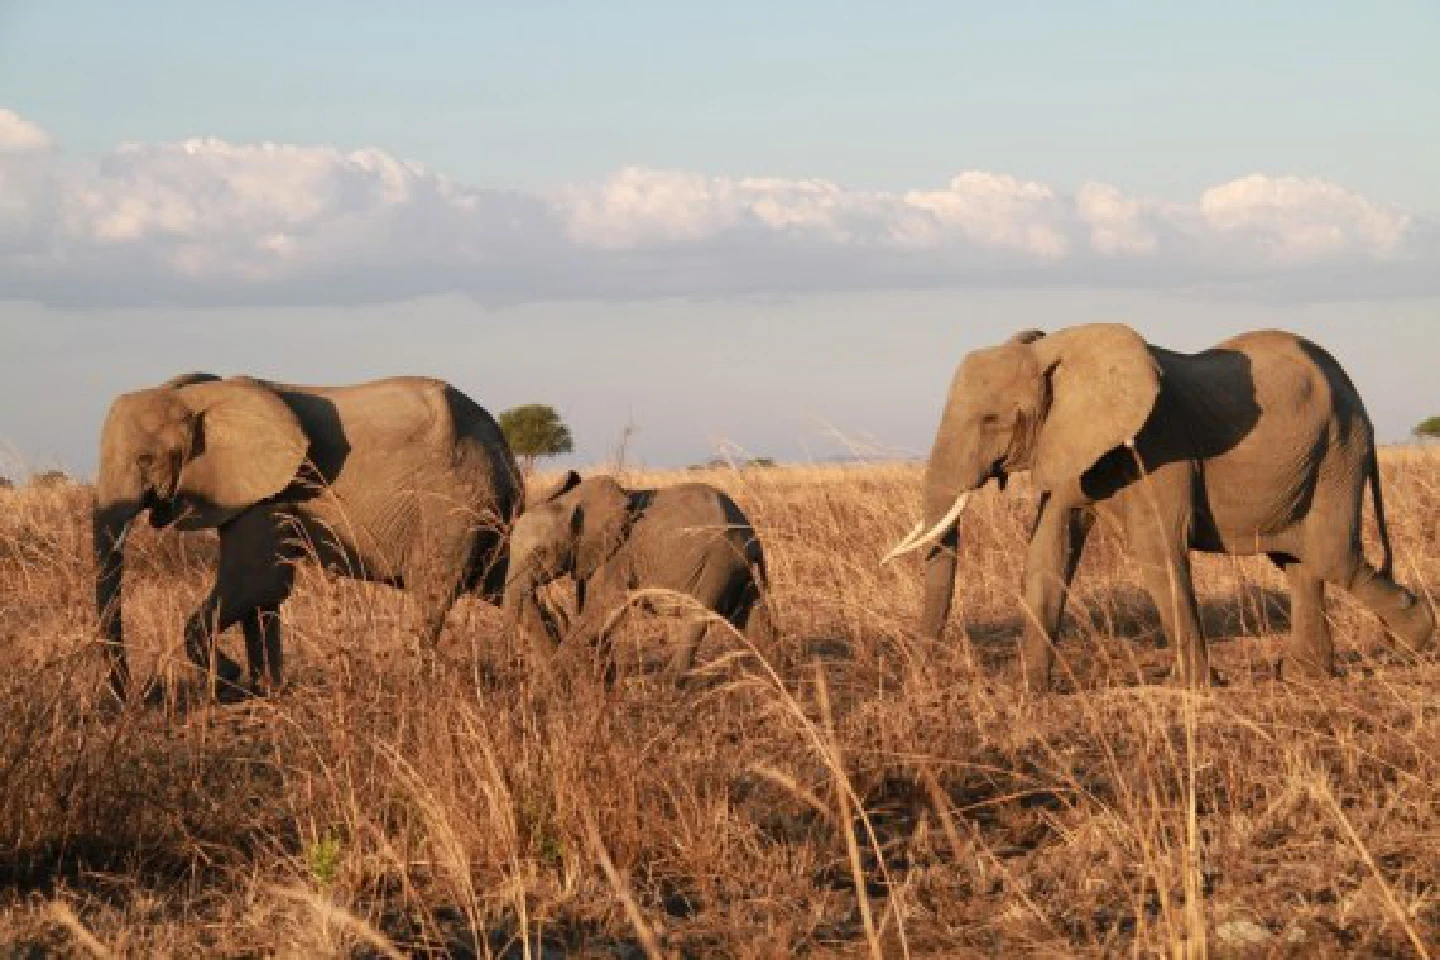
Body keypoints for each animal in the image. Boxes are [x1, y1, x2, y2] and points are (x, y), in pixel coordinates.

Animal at [94, 372, 523, 699]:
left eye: (145, 460)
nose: (138, 697)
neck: (200, 397)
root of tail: (500, 442)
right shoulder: (252, 494)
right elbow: (263, 595)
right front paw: (264, 689)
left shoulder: (268, 496)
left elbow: (256, 581)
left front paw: (232, 681)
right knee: (504, 585)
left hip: (452, 507)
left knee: (432, 593)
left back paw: (417, 687)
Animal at [503, 472, 773, 681]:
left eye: (539, 553)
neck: (571, 501)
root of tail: (752, 535)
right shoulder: (591, 557)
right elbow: (592, 614)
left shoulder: (617, 557)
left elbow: (599, 610)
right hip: (736, 567)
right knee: (748, 610)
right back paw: (767, 668)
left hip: (719, 561)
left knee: (697, 617)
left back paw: (667, 685)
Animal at [884, 324, 1434, 691]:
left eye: (991, 419)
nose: (920, 679)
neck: (1057, 347)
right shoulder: (1067, 446)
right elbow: (1048, 553)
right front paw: (1030, 692)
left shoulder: (1157, 444)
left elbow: (1156, 549)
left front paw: (1193, 688)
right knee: (1299, 563)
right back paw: (1304, 676)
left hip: (1338, 452)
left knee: (1331, 557)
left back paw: (1416, 636)